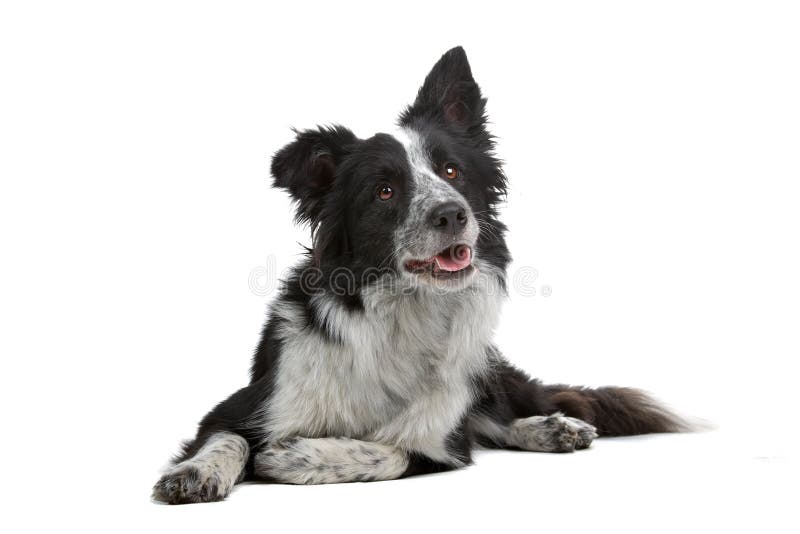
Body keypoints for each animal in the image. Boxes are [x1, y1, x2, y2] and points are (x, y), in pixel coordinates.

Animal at [152, 47, 688, 506]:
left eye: (451, 171)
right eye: (385, 191)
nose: (452, 213)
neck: (404, 310)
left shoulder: (439, 442)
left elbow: (388, 450)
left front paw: (294, 456)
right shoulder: (244, 405)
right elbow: (227, 440)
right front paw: (195, 473)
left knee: (510, 411)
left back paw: (556, 426)